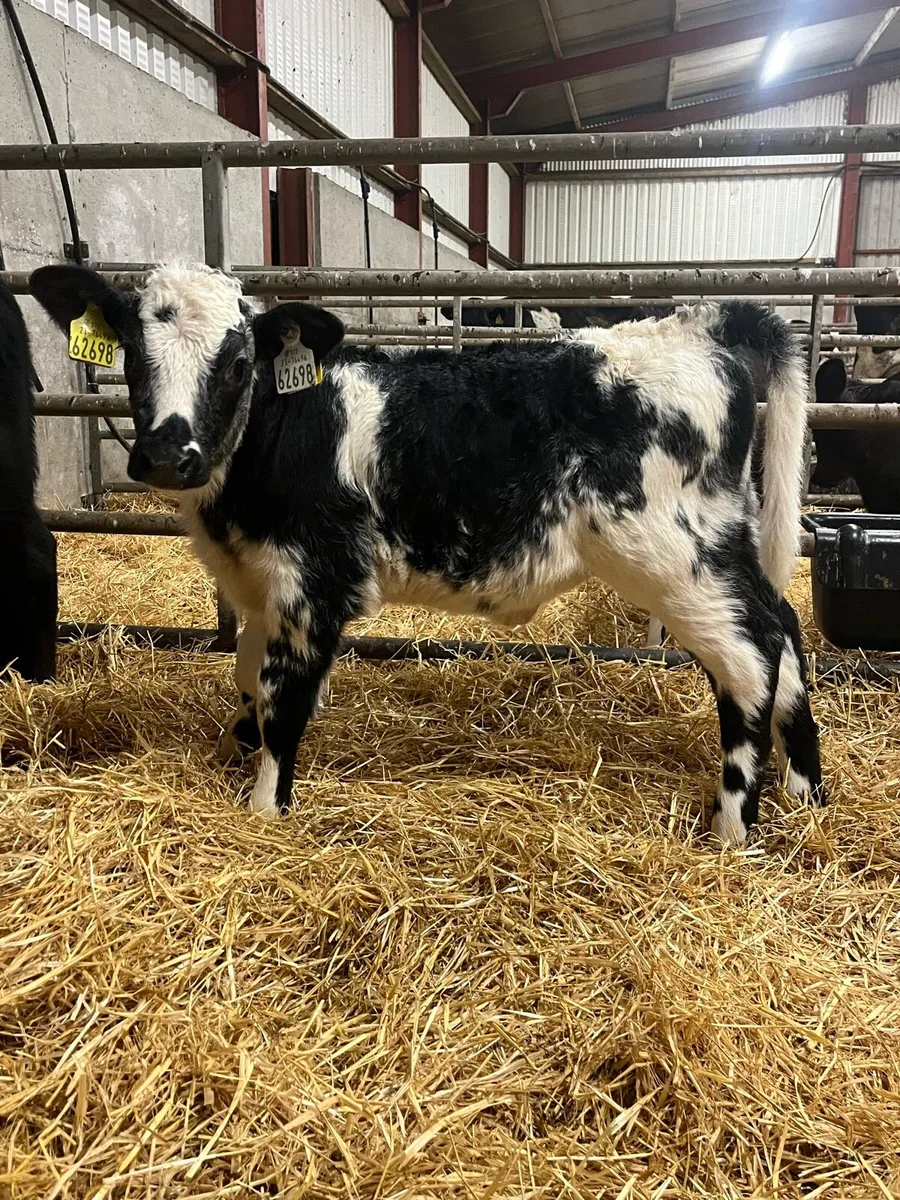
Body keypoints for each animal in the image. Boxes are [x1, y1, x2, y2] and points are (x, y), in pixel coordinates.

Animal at [30, 263, 821, 848]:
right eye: (131, 352)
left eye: (236, 362)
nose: (169, 454)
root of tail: (694, 322)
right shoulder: (261, 588)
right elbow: (250, 680)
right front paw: (235, 750)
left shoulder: (315, 583)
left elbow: (284, 699)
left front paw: (263, 809)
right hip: (725, 542)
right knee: (784, 628)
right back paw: (806, 791)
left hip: (674, 555)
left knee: (751, 655)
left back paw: (732, 828)